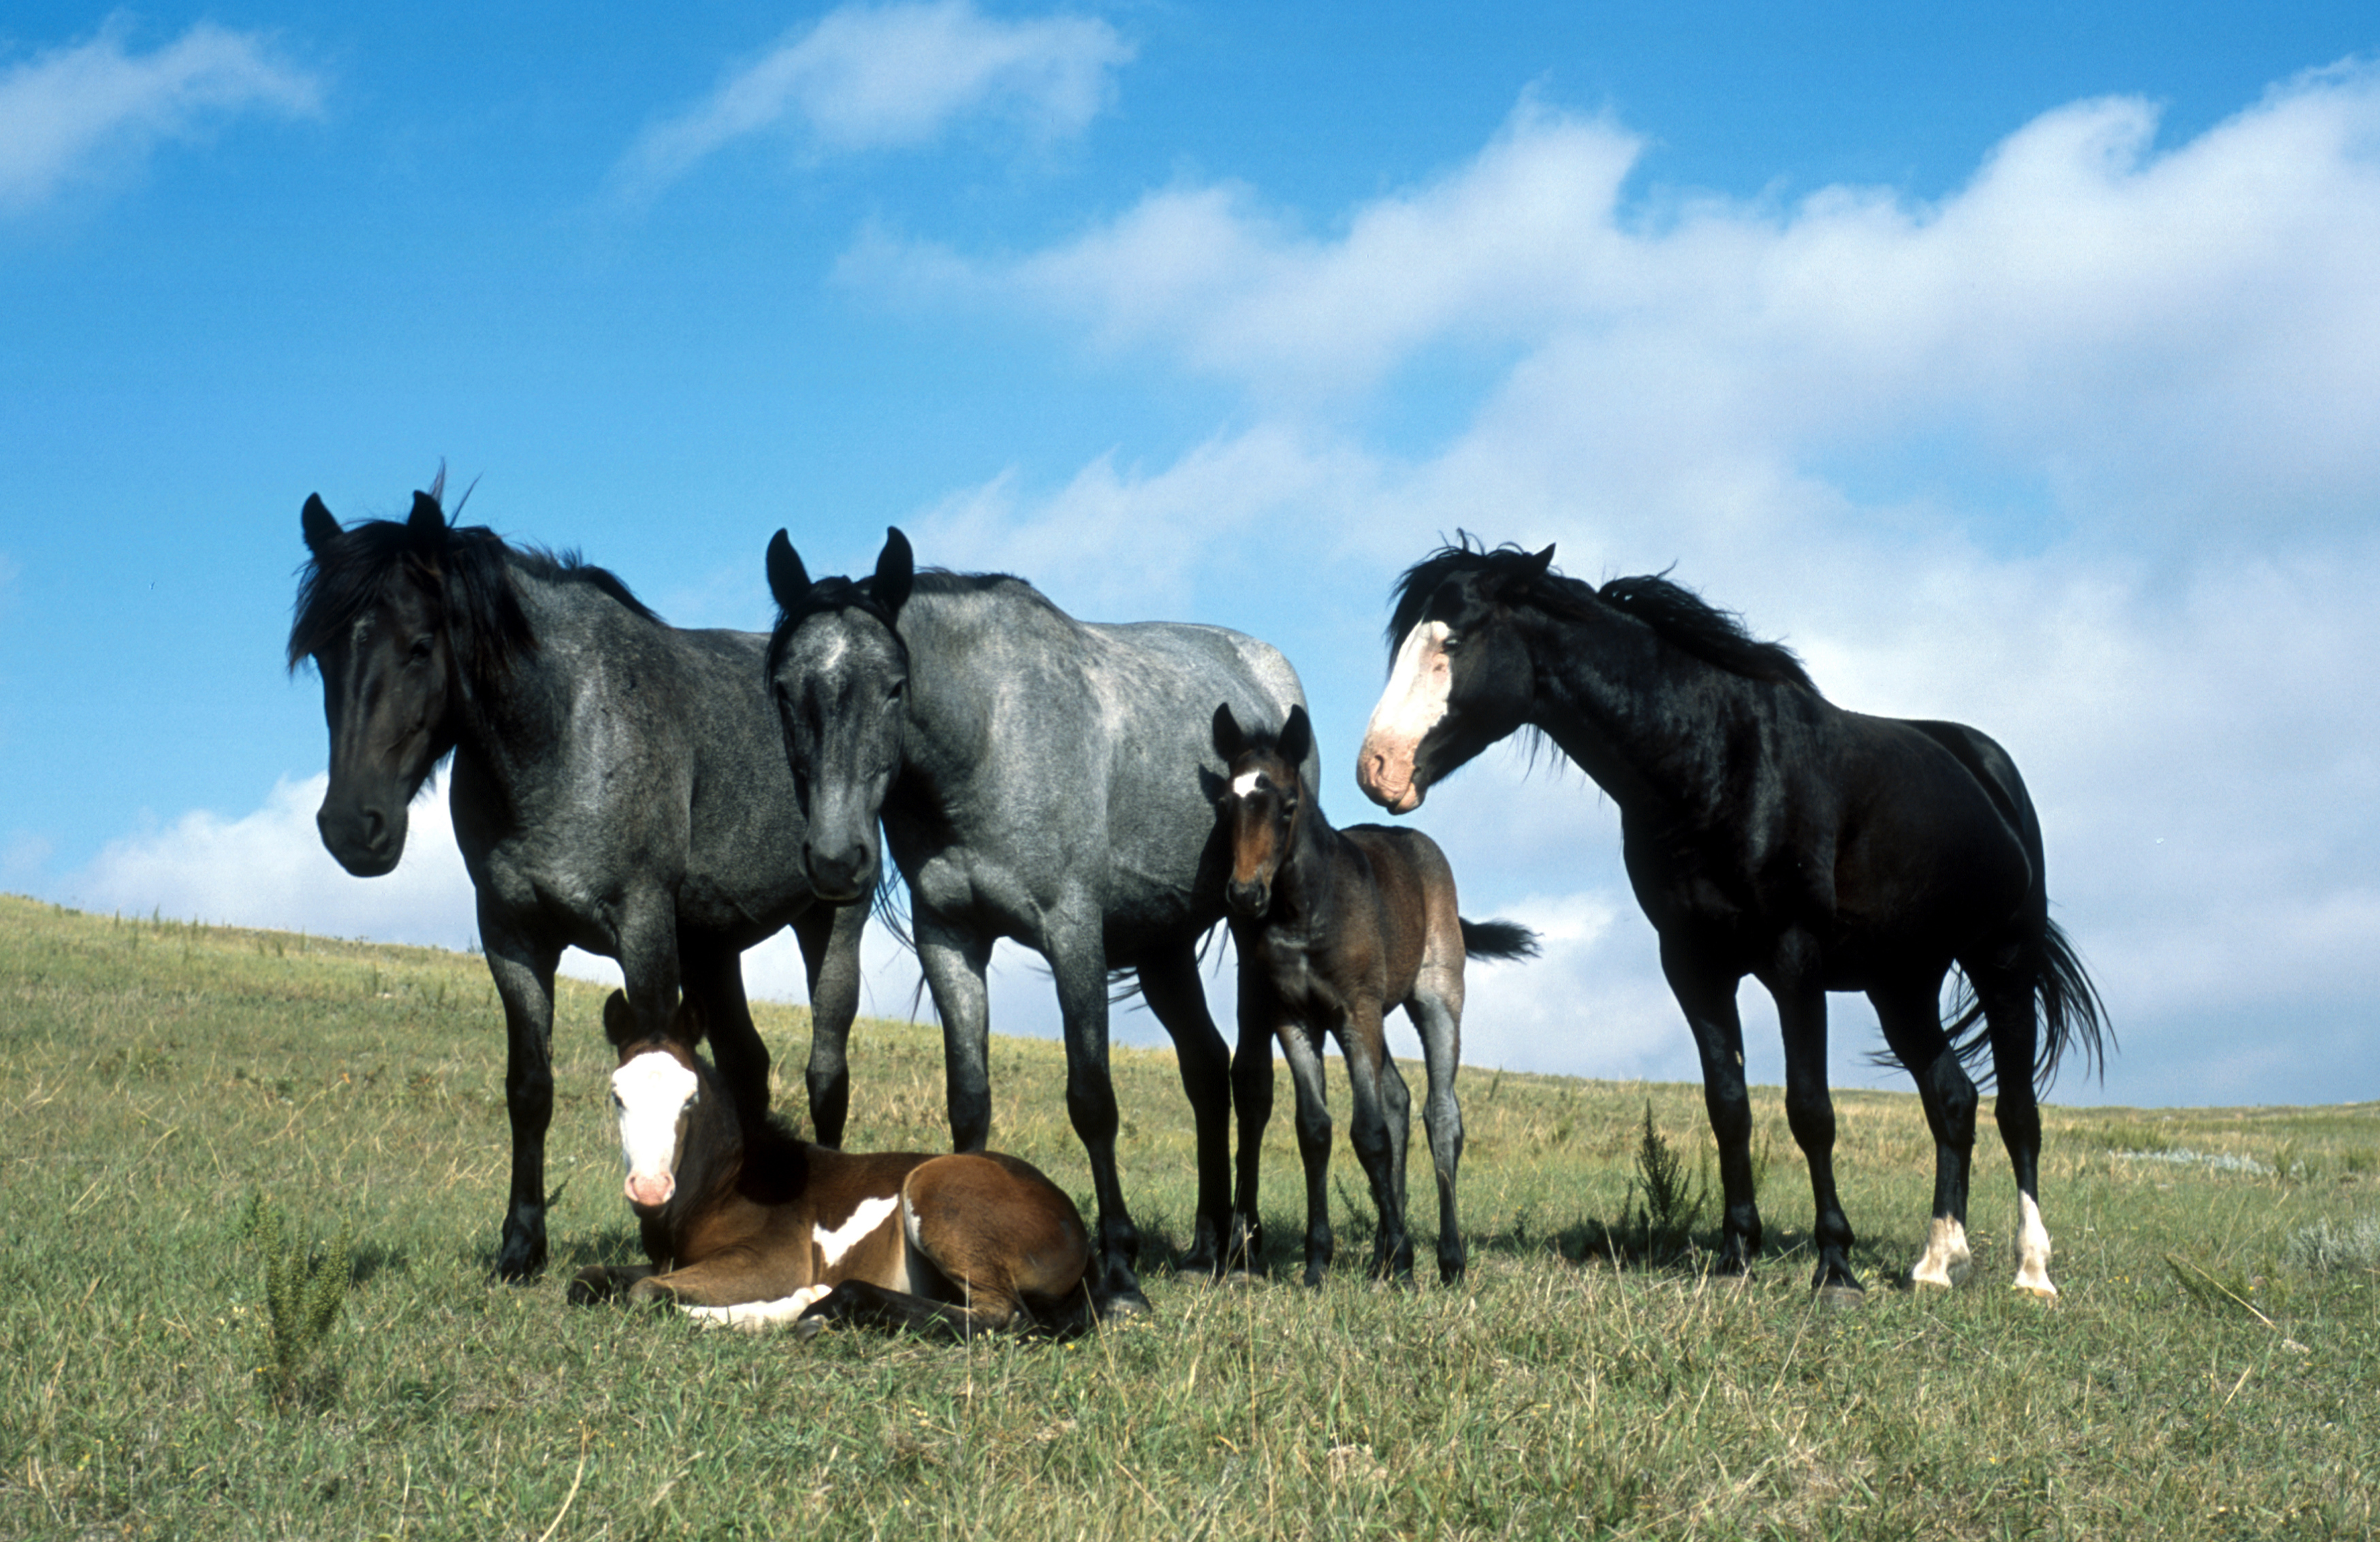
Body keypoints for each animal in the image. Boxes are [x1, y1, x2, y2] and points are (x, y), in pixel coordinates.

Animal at [287, 478, 866, 1275]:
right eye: (322, 654)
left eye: (420, 645)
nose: (352, 827)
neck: (564, 731)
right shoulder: (513, 937)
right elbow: (530, 1088)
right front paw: (521, 1246)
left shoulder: (642, 927)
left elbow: (661, 1057)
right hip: (713, 947)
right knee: (746, 1065)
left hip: (831, 922)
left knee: (825, 1075)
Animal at [571, 999, 1099, 1332]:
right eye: (617, 1095)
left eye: (690, 1098)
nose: (650, 1189)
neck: (726, 1184)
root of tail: (1071, 1220)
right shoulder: (670, 1260)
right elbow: (587, 1278)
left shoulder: (771, 1260)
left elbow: (645, 1292)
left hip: (935, 1195)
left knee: (1001, 1315)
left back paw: (818, 1306)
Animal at [766, 530, 1314, 1313]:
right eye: (784, 688)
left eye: (895, 686)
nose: (837, 860)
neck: (990, 736)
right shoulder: (950, 939)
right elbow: (969, 1099)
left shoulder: (1072, 934)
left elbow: (1092, 1099)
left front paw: (1119, 1273)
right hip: (1164, 945)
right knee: (1207, 1072)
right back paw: (1204, 1248)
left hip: (1248, 927)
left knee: (1251, 1080)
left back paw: (1241, 1249)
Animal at [1218, 704, 1532, 1285]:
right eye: (1227, 803)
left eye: (1288, 806)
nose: (1245, 894)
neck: (1305, 909)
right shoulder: (1294, 1019)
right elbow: (1316, 1130)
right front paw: (1318, 1261)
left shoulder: (1354, 1012)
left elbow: (1369, 1133)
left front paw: (1406, 1261)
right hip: (1377, 1017)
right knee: (1399, 1098)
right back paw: (1383, 1253)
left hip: (1434, 997)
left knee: (1440, 1113)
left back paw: (1447, 1258)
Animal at [1352, 542, 2113, 1304]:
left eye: (1452, 642)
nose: (1377, 769)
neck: (1718, 762)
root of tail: (1987, 768)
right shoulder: (1695, 966)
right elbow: (1729, 1107)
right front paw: (1735, 1252)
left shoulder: (1795, 962)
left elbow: (1810, 1110)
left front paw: (1835, 1266)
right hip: (1902, 985)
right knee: (1952, 1099)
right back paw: (1935, 1262)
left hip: (2003, 963)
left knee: (2017, 1112)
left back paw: (2032, 1271)